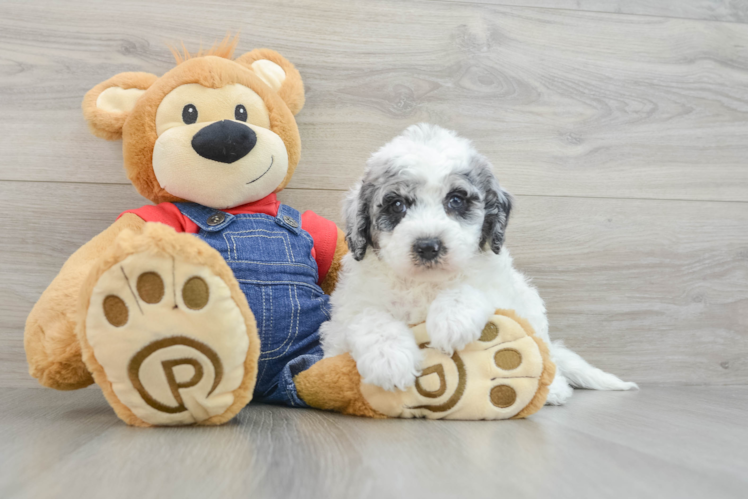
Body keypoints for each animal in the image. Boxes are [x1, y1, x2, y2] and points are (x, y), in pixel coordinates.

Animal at [322, 123, 636, 404]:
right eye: (397, 205)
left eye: (456, 200)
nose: (428, 246)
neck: (426, 283)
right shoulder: (344, 317)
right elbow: (368, 318)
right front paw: (389, 360)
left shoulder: (501, 291)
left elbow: (471, 290)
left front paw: (451, 321)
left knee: (547, 355)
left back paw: (554, 390)